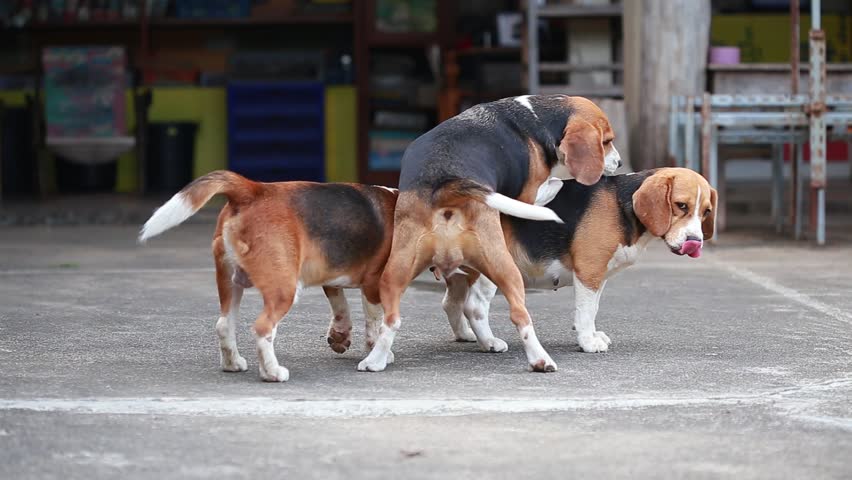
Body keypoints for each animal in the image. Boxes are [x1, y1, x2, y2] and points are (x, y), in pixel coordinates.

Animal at [140, 171, 400, 380]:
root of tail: (253, 190)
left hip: (230, 280)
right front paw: (378, 353)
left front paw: (340, 335)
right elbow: (375, 320)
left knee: (224, 325)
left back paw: (232, 364)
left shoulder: (332, 273)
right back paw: (272, 373)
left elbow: (340, 305)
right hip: (284, 289)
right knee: (263, 327)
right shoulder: (374, 284)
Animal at [362, 94, 620, 372]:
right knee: (512, 314)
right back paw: (540, 359)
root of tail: (445, 185)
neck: (536, 117)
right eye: (606, 141)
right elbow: (556, 183)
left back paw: (374, 361)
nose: (619, 162)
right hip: (504, 267)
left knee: (391, 319)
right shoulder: (528, 196)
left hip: (395, 273)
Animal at [442, 167, 716, 354]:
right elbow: (584, 312)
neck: (624, 205)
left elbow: (592, 309)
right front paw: (587, 342)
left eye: (706, 212)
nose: (695, 240)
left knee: (451, 303)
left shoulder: (599, 277)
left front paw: (592, 335)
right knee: (474, 306)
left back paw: (466, 335)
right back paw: (489, 342)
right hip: (494, 271)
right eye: (681, 205)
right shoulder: (589, 271)